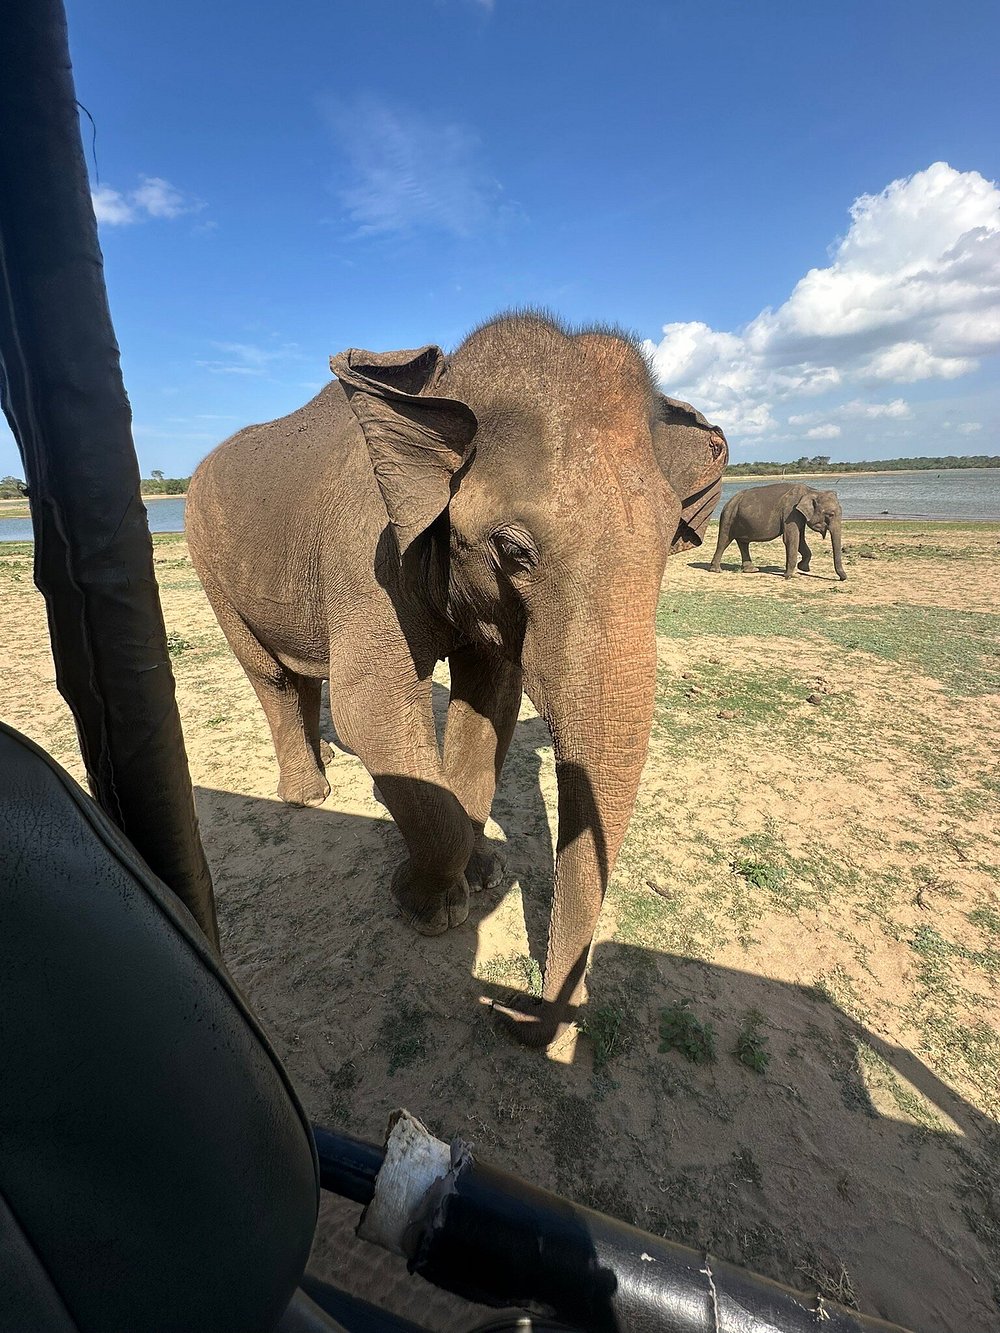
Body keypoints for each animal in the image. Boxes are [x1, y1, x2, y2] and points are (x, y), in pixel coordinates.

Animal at [186, 313, 729, 1046]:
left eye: (671, 539)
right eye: (514, 549)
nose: (512, 1011)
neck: (450, 388)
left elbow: (490, 702)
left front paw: (483, 873)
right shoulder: (366, 553)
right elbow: (373, 710)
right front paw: (430, 908)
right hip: (208, 564)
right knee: (270, 676)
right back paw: (308, 795)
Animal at [709, 482, 847, 580]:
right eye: (830, 514)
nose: (843, 579)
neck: (811, 490)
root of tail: (728, 502)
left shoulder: (798, 515)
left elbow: (800, 539)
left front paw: (803, 568)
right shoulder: (790, 512)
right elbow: (791, 539)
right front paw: (789, 576)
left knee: (743, 543)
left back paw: (751, 570)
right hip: (728, 516)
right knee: (724, 540)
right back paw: (716, 570)